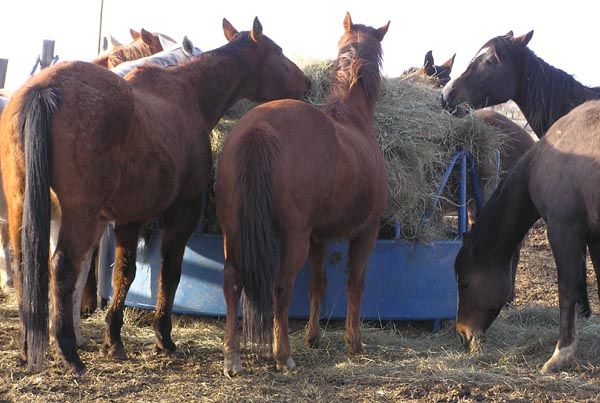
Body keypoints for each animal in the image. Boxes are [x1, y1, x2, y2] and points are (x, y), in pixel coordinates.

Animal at [216, 12, 390, 378]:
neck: (353, 118)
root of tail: (259, 128)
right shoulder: (366, 232)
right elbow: (355, 283)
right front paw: (354, 343)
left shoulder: (319, 237)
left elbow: (318, 283)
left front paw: (313, 336)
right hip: (293, 238)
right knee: (281, 285)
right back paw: (283, 355)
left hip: (234, 232)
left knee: (233, 281)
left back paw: (232, 357)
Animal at [454, 101, 600, 376]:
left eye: (464, 283)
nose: (462, 334)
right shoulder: (595, 235)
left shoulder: (563, 229)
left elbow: (567, 288)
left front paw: (560, 354)